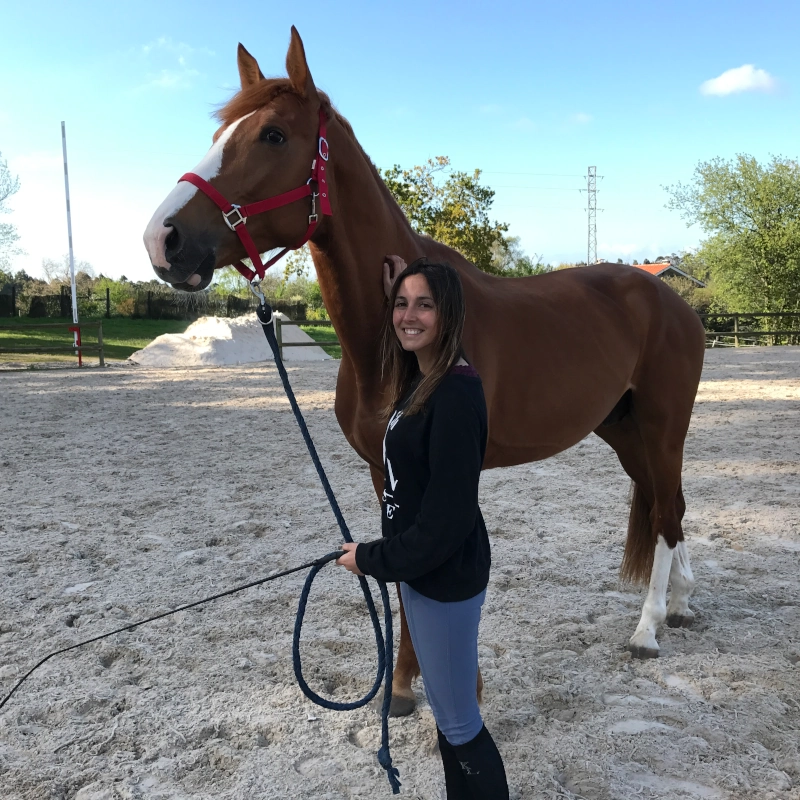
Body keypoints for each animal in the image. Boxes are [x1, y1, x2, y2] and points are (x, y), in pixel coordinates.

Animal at [143, 27, 706, 718]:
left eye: (272, 135)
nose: (162, 238)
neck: (395, 344)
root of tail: (672, 300)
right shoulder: (380, 469)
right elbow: (396, 564)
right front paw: (404, 685)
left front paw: (451, 688)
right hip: (624, 432)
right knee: (669, 506)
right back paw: (680, 606)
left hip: (662, 427)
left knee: (666, 512)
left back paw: (649, 628)